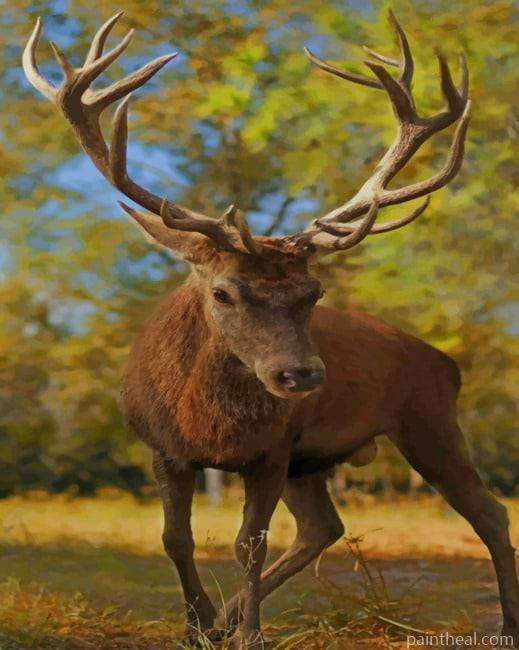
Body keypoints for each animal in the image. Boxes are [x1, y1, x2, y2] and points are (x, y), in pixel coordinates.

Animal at [23, 10, 519, 649]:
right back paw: (225, 617)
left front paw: (250, 634)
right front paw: (199, 626)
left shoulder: (273, 448)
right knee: (324, 526)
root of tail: (447, 363)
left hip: (427, 419)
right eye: (223, 291)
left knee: (489, 512)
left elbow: (248, 545)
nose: (300, 375)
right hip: (323, 457)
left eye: (314, 294)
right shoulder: (163, 448)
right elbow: (174, 539)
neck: (209, 428)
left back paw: (507, 622)